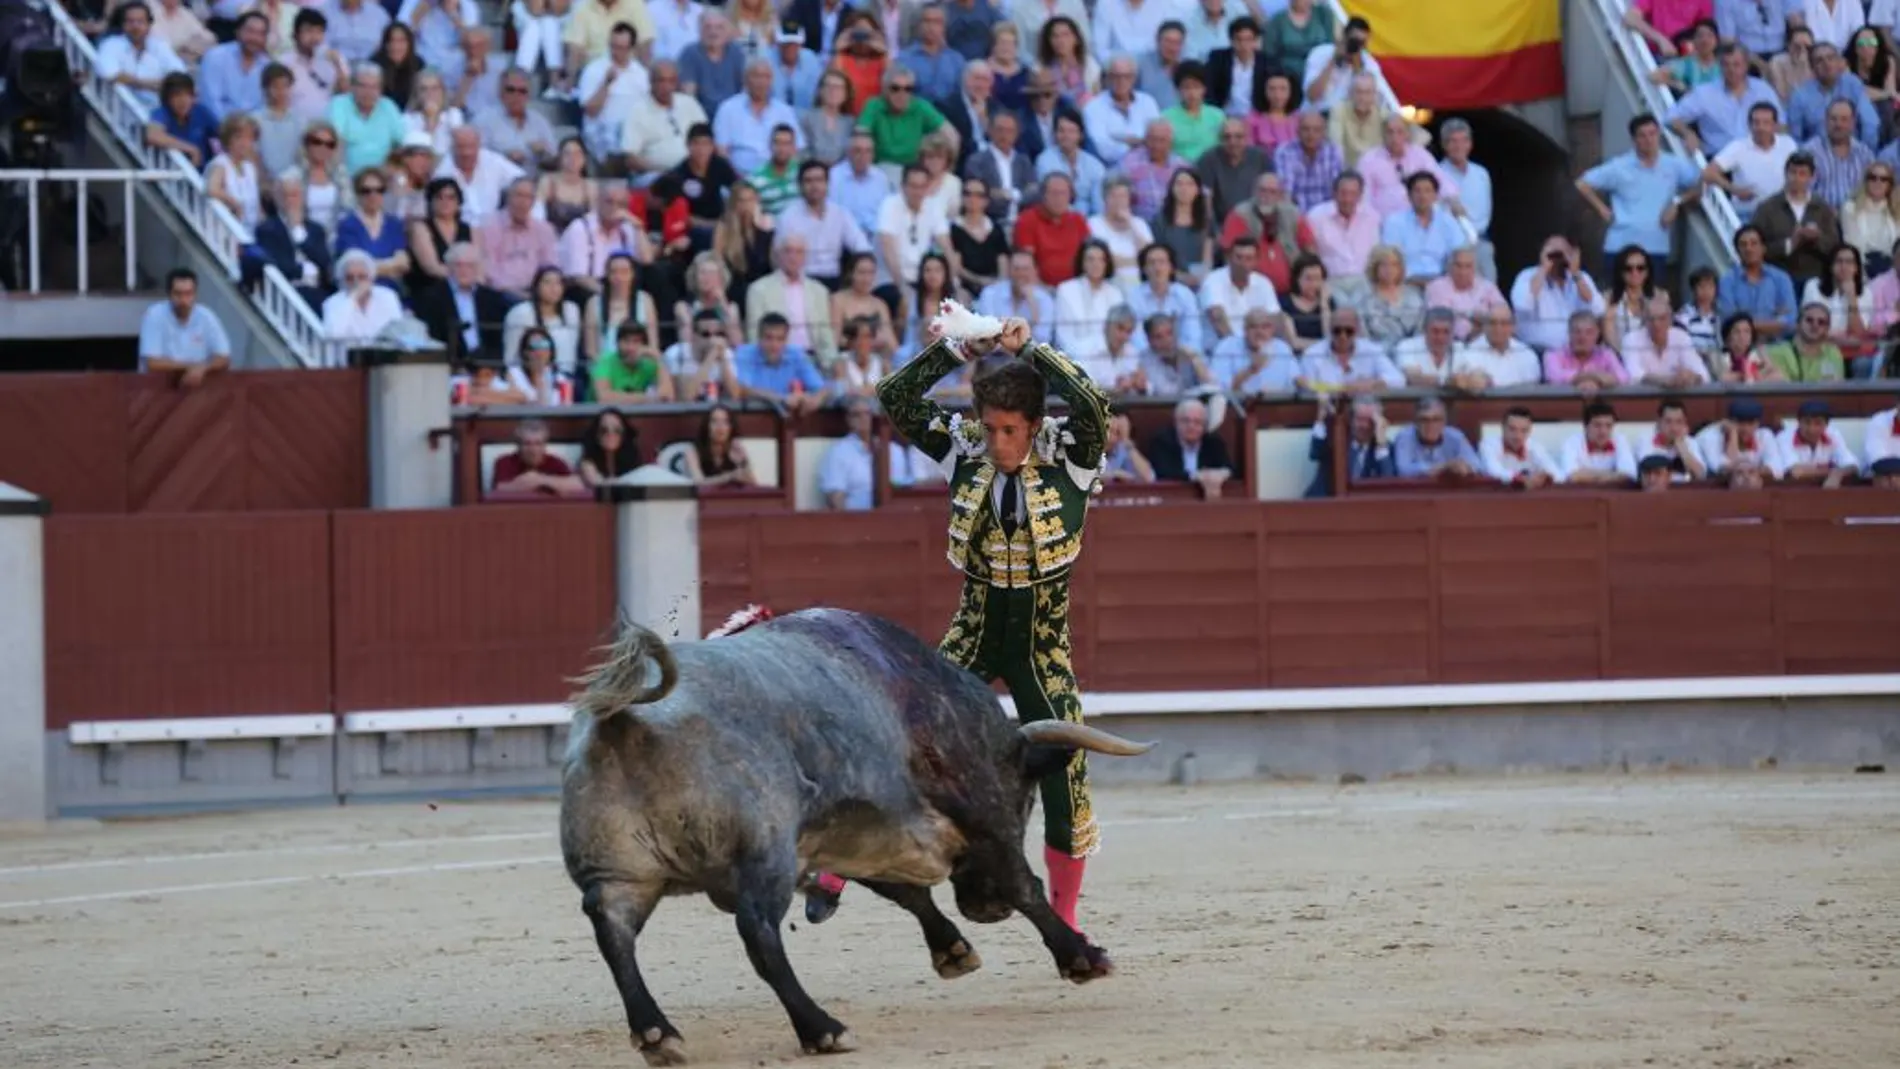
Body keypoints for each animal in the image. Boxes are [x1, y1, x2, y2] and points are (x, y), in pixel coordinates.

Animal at [558, 607, 1155, 1063]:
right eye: (1028, 797)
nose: (986, 910)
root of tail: (627, 721)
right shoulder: (980, 809)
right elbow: (1022, 883)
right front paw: (1083, 957)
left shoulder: (850, 840)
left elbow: (904, 893)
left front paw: (954, 950)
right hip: (762, 856)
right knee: (758, 933)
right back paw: (822, 1029)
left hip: (621, 875)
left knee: (614, 934)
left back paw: (658, 1034)